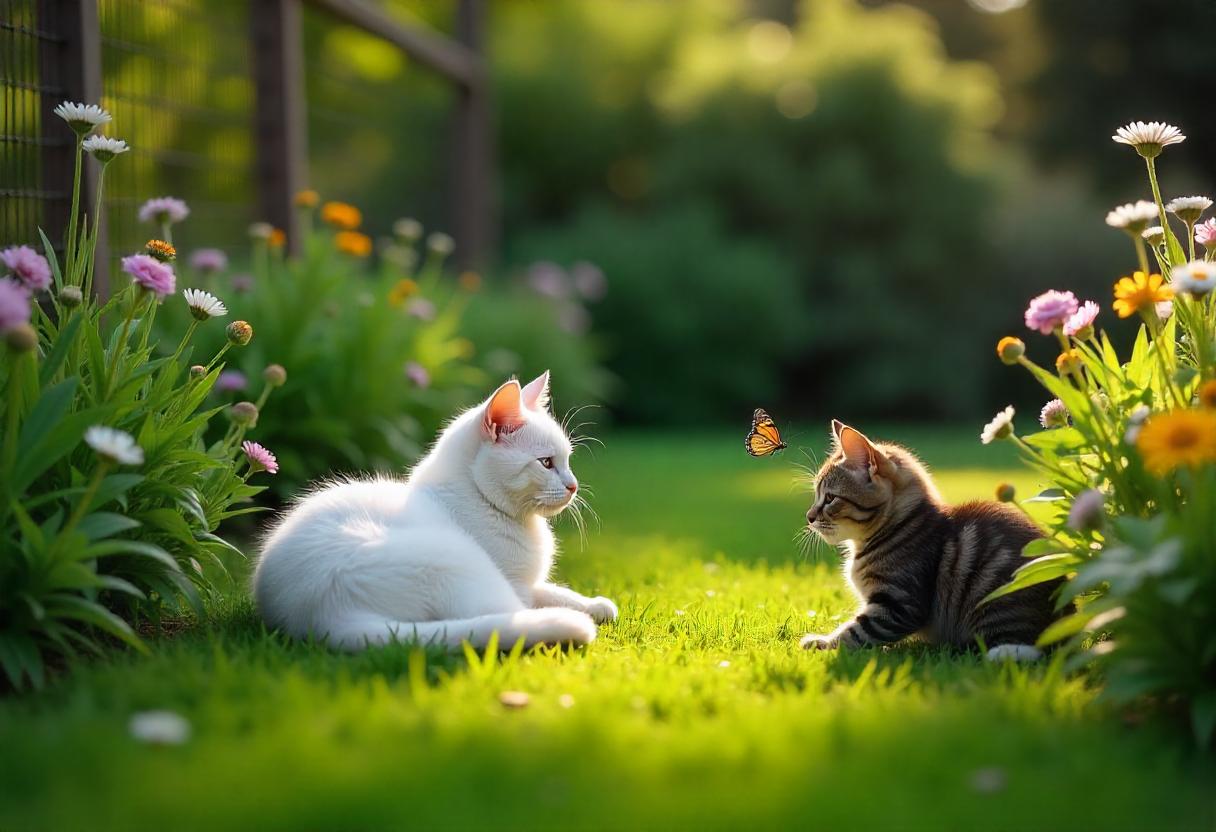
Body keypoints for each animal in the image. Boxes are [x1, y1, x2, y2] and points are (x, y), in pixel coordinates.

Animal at [254, 369, 617, 651]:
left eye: (567, 461)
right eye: (546, 463)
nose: (573, 486)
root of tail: (325, 614)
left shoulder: (528, 583)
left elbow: (555, 590)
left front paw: (596, 604)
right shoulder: (516, 584)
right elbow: (543, 595)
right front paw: (588, 609)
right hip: (463, 562)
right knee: (506, 616)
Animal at [802, 423, 1060, 661]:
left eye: (830, 498)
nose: (809, 516)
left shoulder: (899, 605)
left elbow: (857, 631)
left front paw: (821, 643)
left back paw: (1003, 652)